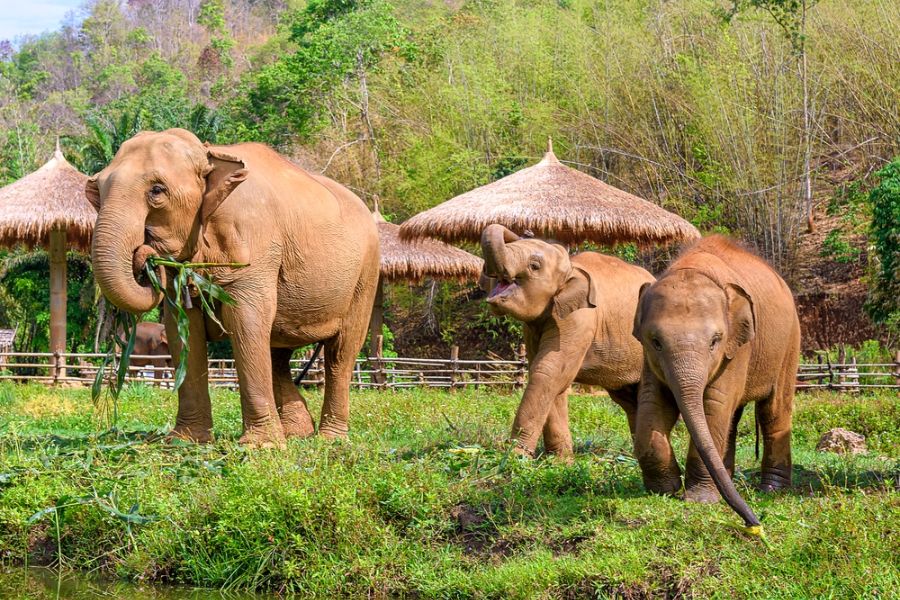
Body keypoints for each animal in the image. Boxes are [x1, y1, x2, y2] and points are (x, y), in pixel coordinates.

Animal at [85, 129, 380, 446]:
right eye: (97, 191)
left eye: (157, 191)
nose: (146, 255)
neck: (211, 153)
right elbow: (183, 329)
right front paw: (184, 441)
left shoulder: (256, 243)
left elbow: (245, 322)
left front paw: (260, 446)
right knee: (278, 353)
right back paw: (297, 433)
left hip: (365, 276)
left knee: (341, 352)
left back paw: (328, 439)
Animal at [478, 223, 652, 458]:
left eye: (534, 266)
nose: (527, 231)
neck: (571, 267)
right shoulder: (533, 327)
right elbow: (549, 377)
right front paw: (560, 460)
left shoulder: (580, 319)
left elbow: (549, 371)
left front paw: (515, 456)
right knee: (629, 400)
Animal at [628, 237, 800, 528]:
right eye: (656, 341)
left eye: (715, 341)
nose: (754, 523)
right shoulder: (647, 358)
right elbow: (654, 403)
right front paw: (664, 490)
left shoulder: (738, 347)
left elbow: (714, 405)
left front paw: (699, 500)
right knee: (732, 419)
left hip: (789, 343)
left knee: (772, 411)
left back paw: (771, 490)